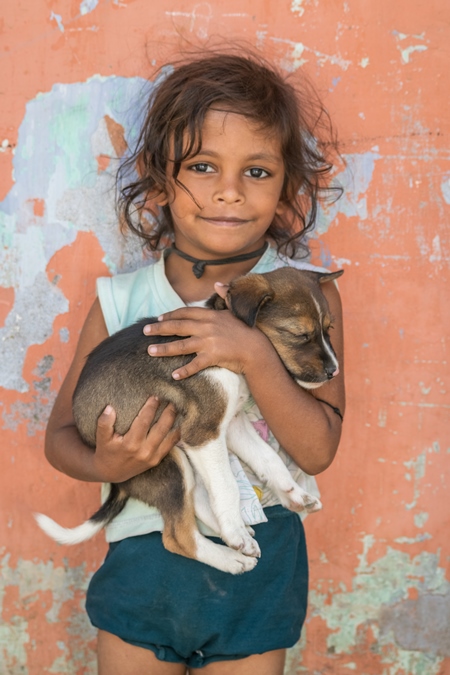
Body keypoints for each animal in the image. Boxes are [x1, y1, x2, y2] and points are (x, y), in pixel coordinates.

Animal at [36, 266, 344, 572]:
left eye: (329, 329)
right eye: (299, 334)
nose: (334, 371)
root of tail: (117, 483)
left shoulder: (231, 423)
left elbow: (269, 459)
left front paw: (295, 495)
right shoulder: (204, 432)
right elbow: (227, 486)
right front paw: (235, 533)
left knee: (196, 500)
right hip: (165, 461)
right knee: (177, 536)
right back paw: (233, 554)